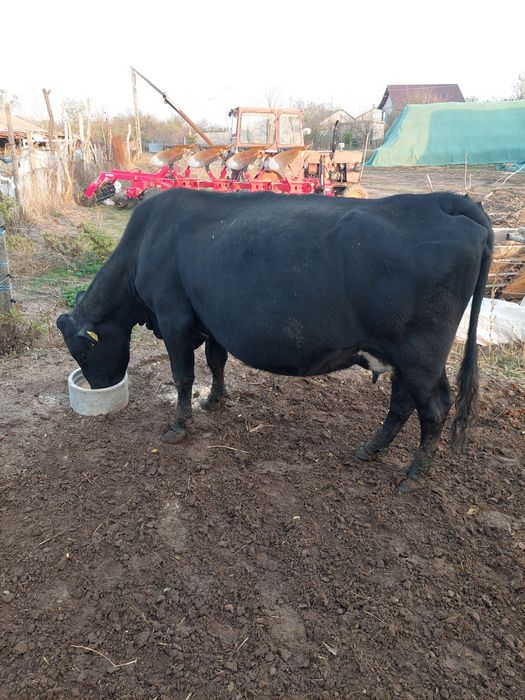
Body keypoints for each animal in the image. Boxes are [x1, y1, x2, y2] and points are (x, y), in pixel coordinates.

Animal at [57, 189, 493, 492]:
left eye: (82, 350)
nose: (99, 387)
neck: (145, 242)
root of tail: (443, 202)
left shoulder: (174, 316)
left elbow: (182, 376)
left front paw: (179, 425)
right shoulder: (210, 319)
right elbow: (216, 361)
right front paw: (215, 399)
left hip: (420, 355)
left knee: (434, 409)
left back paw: (413, 476)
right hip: (407, 357)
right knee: (404, 403)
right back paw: (372, 449)